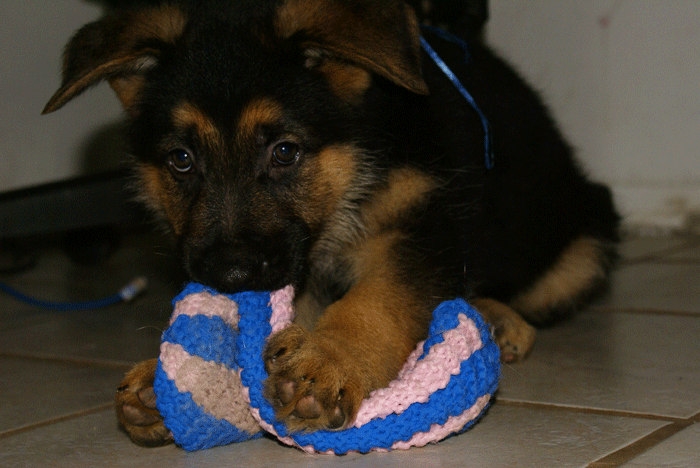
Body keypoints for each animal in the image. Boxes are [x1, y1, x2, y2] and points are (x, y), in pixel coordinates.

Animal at [42, 0, 616, 446]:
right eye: (181, 160)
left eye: (285, 152)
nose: (228, 278)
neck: (359, 156)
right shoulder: (297, 256)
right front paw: (158, 378)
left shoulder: (420, 224)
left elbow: (378, 298)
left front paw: (328, 359)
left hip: (584, 250)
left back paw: (499, 319)